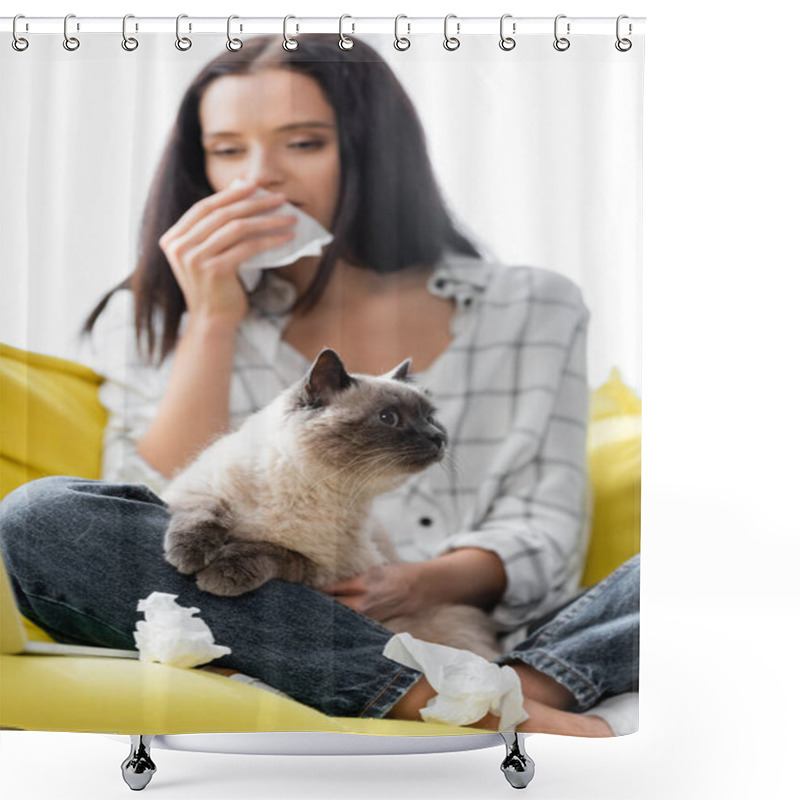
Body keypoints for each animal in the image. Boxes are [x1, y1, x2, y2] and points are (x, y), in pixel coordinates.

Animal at [162, 346, 500, 660]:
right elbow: (205, 515)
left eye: (430, 418)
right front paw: (189, 556)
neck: (308, 489)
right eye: (389, 418)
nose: (438, 438)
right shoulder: (194, 491)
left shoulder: (324, 573)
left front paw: (220, 574)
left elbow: (270, 549)